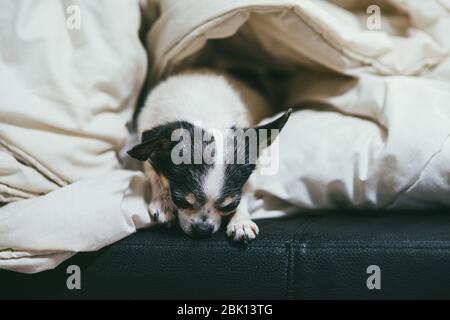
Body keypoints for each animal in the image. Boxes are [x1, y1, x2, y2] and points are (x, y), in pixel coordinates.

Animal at [126, 69, 292, 241]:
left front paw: (241, 221)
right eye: (181, 201)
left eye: (229, 206)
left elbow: (245, 195)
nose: (203, 229)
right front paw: (163, 201)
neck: (204, 115)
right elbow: (154, 175)